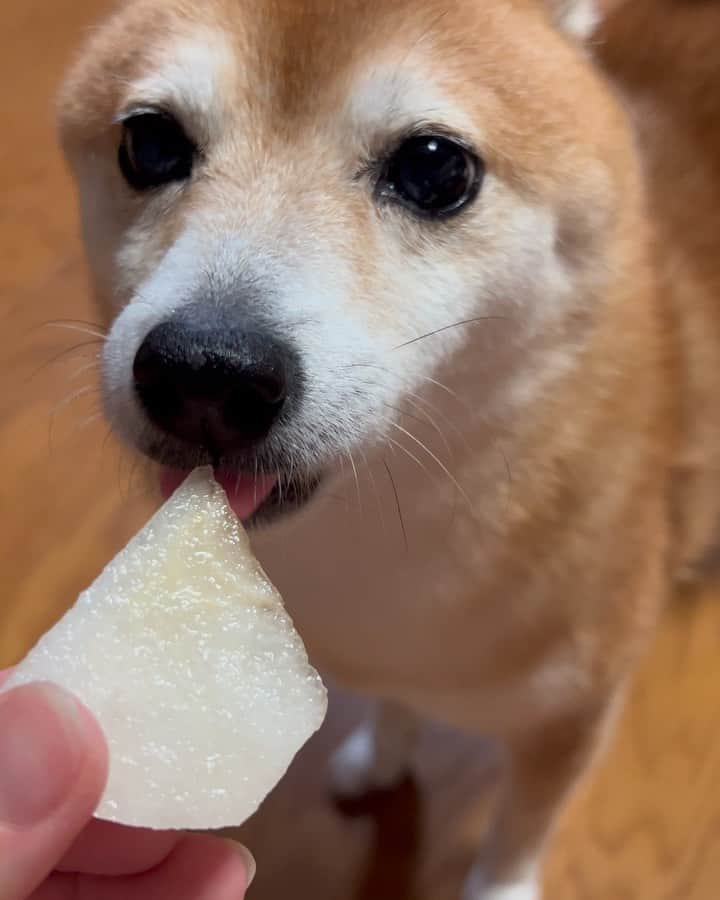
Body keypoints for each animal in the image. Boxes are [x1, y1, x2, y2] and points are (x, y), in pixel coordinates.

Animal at [54, 0, 720, 892]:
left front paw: (501, 886)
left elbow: (521, 825)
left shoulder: (575, 715)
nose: (205, 375)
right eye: (150, 143)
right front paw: (385, 750)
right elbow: (398, 700)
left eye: (435, 168)